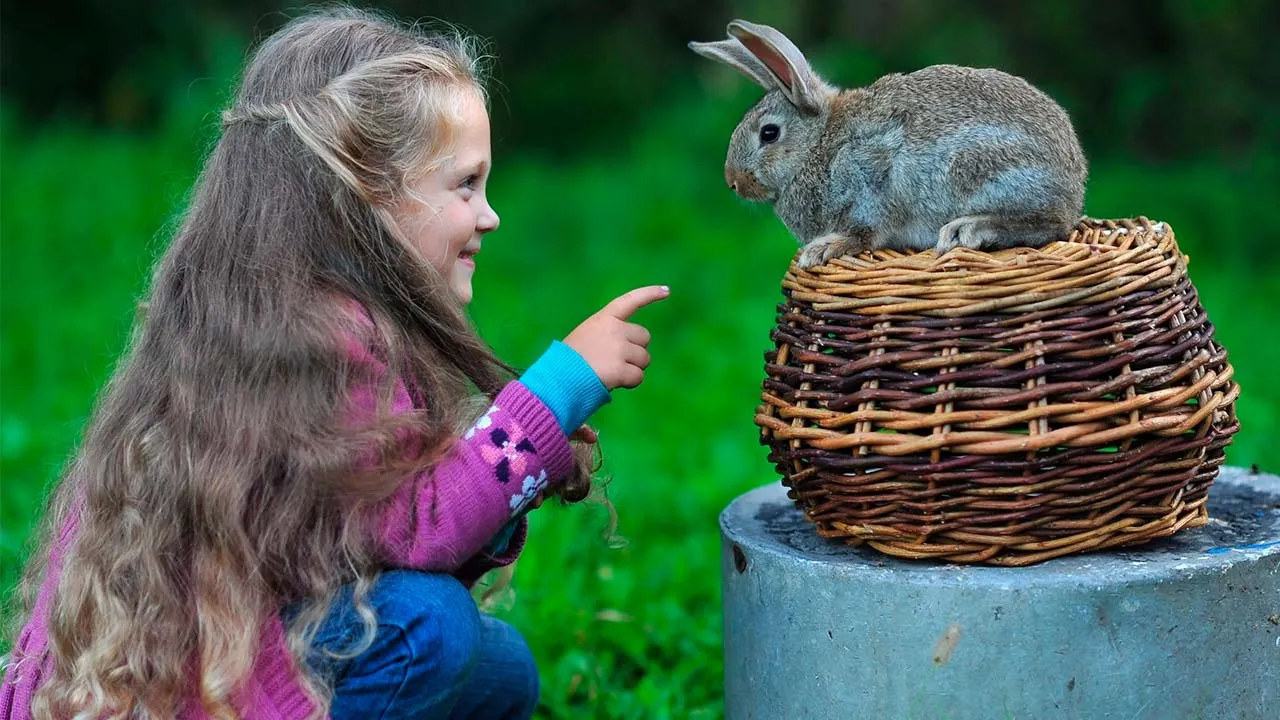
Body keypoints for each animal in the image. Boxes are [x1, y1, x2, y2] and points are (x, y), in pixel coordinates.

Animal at [689, 19, 1088, 269]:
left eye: (769, 134)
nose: (732, 181)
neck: (819, 144)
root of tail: (1075, 185)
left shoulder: (866, 184)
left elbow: (864, 233)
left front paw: (821, 250)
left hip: (978, 167)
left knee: (1050, 225)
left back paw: (967, 230)